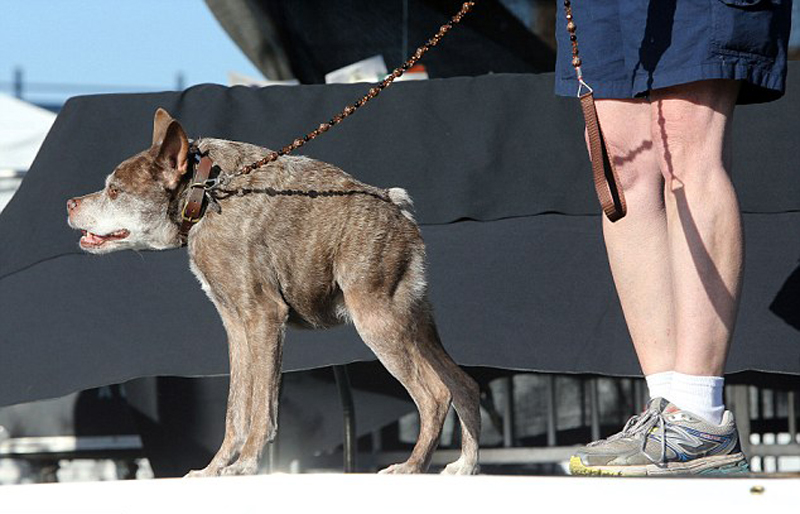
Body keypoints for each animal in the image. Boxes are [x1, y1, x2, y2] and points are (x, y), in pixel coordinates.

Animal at [65, 108, 478, 476]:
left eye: (114, 191)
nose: (69, 203)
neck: (205, 195)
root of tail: (399, 207)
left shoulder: (264, 317)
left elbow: (262, 407)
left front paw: (246, 465)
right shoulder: (236, 326)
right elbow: (236, 410)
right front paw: (213, 470)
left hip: (378, 322)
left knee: (435, 395)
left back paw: (411, 467)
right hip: (414, 323)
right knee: (465, 386)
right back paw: (464, 466)